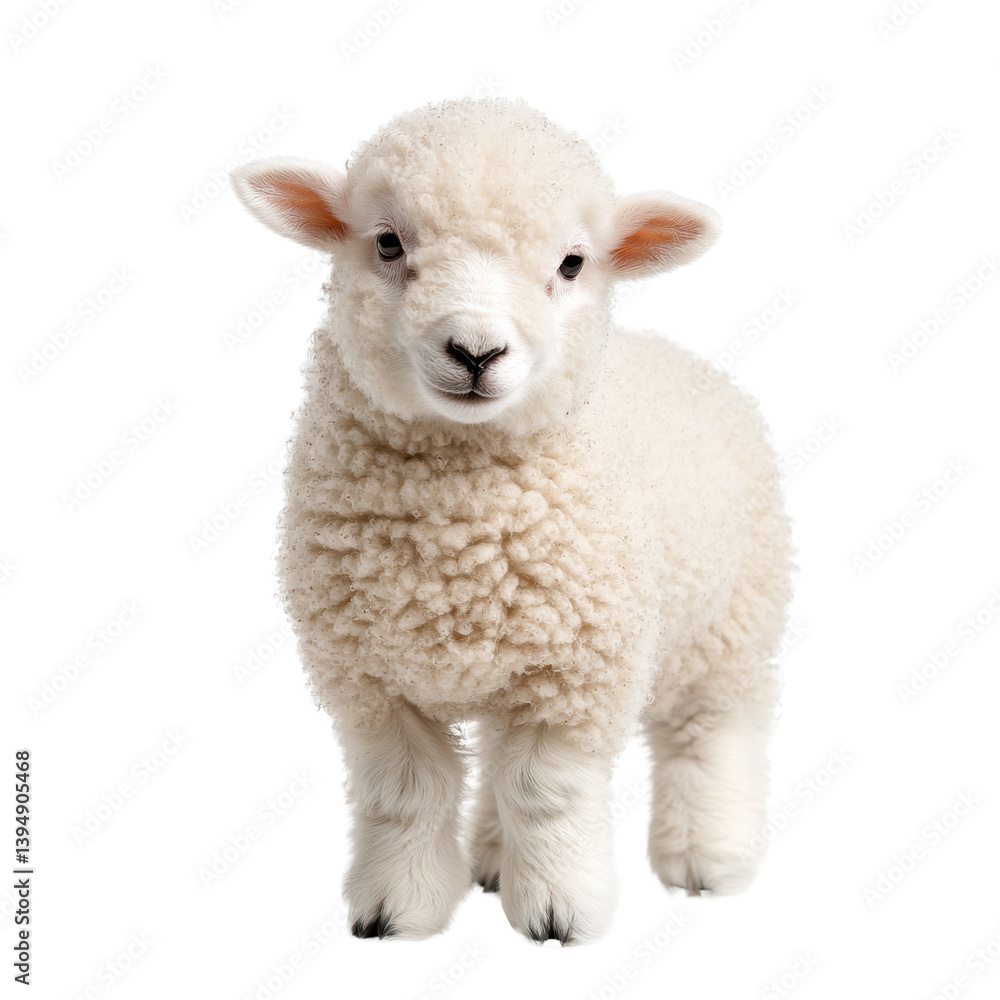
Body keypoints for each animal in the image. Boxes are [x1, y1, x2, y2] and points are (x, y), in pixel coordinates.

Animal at [230, 97, 793, 946]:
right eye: (388, 242)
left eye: (573, 263)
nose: (474, 350)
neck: (456, 540)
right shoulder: (368, 677)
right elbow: (407, 793)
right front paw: (399, 909)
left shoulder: (578, 669)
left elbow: (547, 793)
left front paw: (559, 910)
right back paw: (496, 862)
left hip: (731, 617)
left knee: (710, 730)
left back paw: (706, 855)